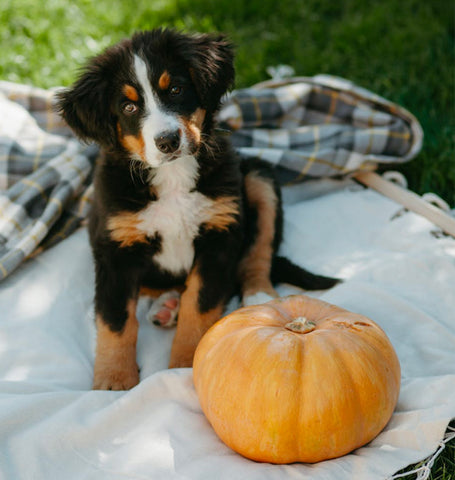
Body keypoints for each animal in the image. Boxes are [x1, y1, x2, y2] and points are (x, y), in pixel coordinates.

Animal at [58, 27, 338, 390]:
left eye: (176, 89)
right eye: (129, 106)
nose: (167, 141)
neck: (173, 177)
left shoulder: (219, 235)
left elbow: (200, 305)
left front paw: (183, 366)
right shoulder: (115, 249)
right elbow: (115, 320)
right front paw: (113, 381)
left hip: (257, 177)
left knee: (259, 252)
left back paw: (260, 299)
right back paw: (167, 306)